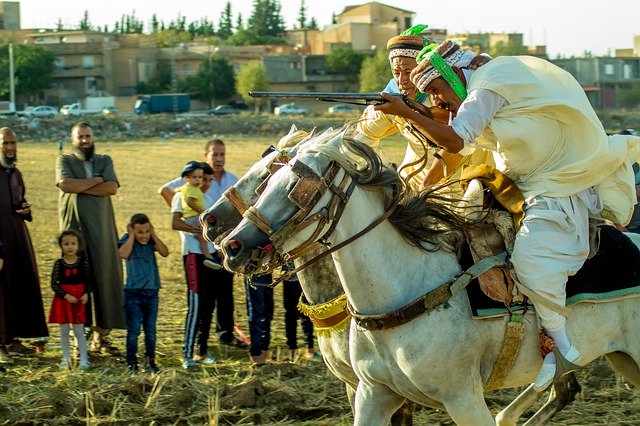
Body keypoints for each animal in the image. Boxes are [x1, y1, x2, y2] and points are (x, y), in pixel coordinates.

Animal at [219, 130, 640, 426]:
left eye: (295, 187)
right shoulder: (373, 394)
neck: (405, 293)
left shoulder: (464, 400)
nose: (230, 245)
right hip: (623, 361)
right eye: (268, 181)